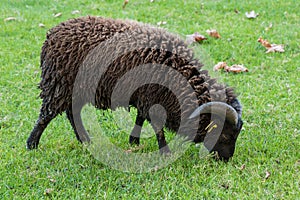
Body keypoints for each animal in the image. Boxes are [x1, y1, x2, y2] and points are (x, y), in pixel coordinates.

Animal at [27, 16, 244, 161]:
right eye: (225, 134)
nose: (226, 159)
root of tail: (52, 34)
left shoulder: (145, 96)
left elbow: (140, 118)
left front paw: (134, 141)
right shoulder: (153, 98)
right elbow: (157, 127)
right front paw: (165, 152)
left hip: (76, 89)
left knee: (72, 113)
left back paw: (85, 141)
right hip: (59, 84)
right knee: (47, 114)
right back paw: (32, 144)